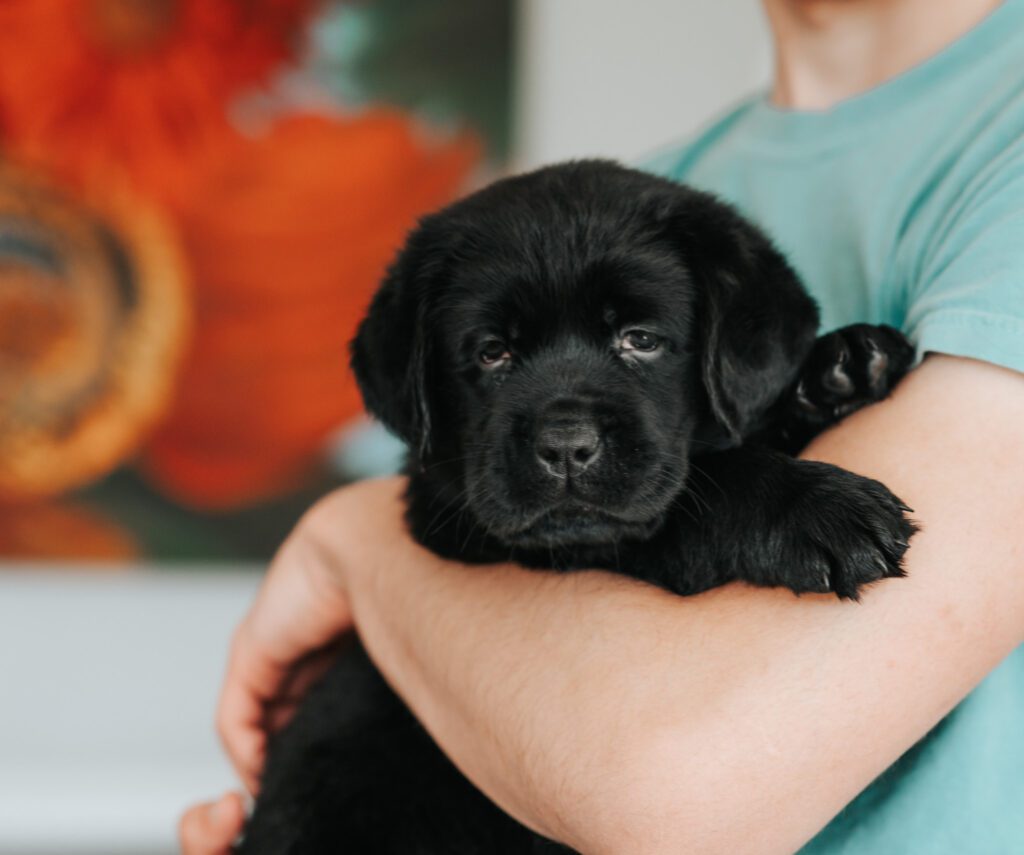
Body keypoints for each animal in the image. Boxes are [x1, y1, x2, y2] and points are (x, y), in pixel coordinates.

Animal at [241, 161, 921, 855]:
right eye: (491, 351)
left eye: (640, 339)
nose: (566, 446)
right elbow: (702, 495)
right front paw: (816, 508)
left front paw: (839, 368)